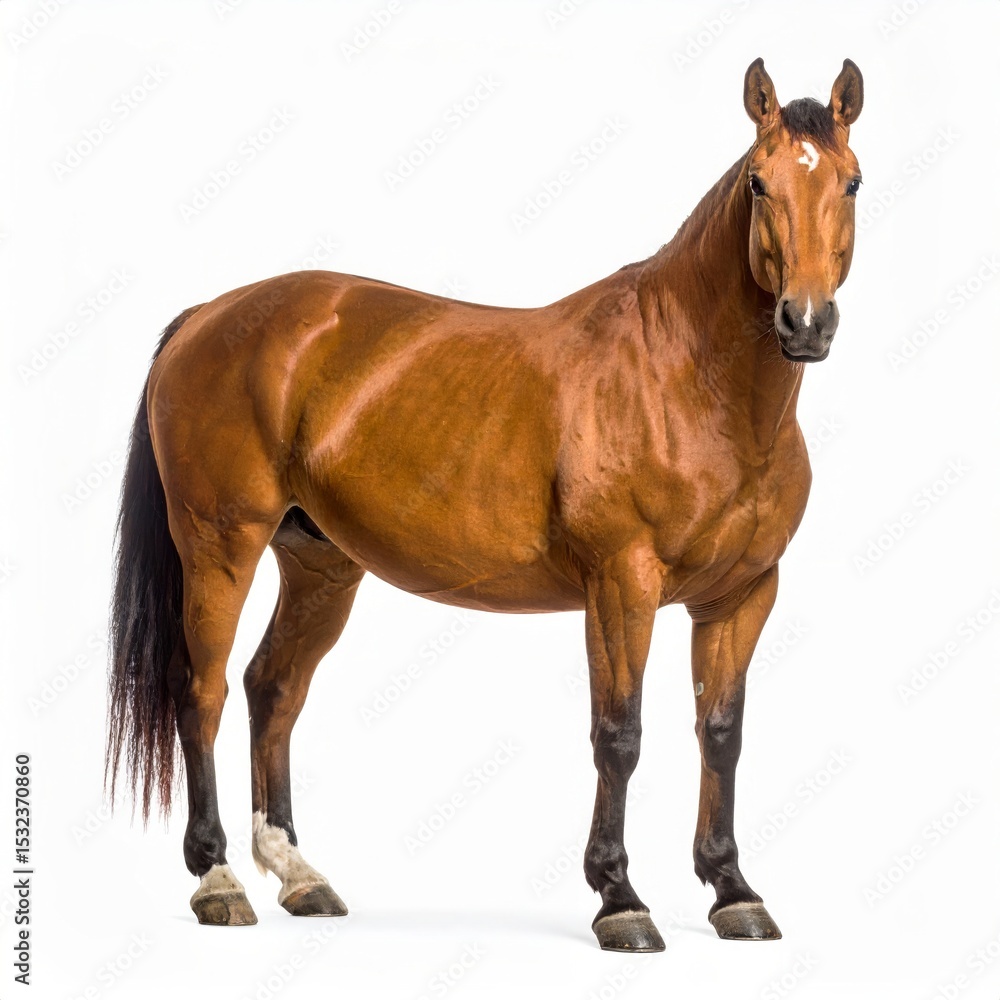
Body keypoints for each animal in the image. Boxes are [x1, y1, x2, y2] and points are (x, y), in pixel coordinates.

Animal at [107, 57, 863, 952]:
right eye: (758, 181)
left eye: (851, 182)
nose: (805, 322)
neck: (686, 377)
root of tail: (206, 316)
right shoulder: (622, 586)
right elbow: (620, 735)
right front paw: (620, 899)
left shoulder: (742, 595)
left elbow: (722, 734)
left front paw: (732, 890)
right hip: (221, 546)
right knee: (204, 692)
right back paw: (218, 880)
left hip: (321, 565)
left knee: (273, 689)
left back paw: (299, 875)